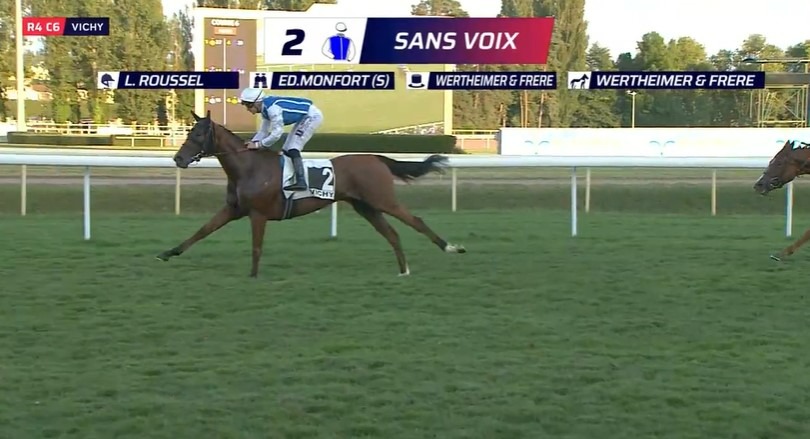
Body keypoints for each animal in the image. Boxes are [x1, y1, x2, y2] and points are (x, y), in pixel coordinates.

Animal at [156, 111, 466, 277]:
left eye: (198, 135)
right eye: (188, 133)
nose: (178, 159)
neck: (248, 167)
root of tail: (376, 158)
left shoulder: (258, 214)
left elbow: (256, 247)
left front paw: (253, 276)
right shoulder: (233, 210)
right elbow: (201, 231)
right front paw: (168, 253)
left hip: (382, 199)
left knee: (415, 221)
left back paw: (451, 248)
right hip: (365, 206)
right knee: (392, 233)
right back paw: (403, 270)